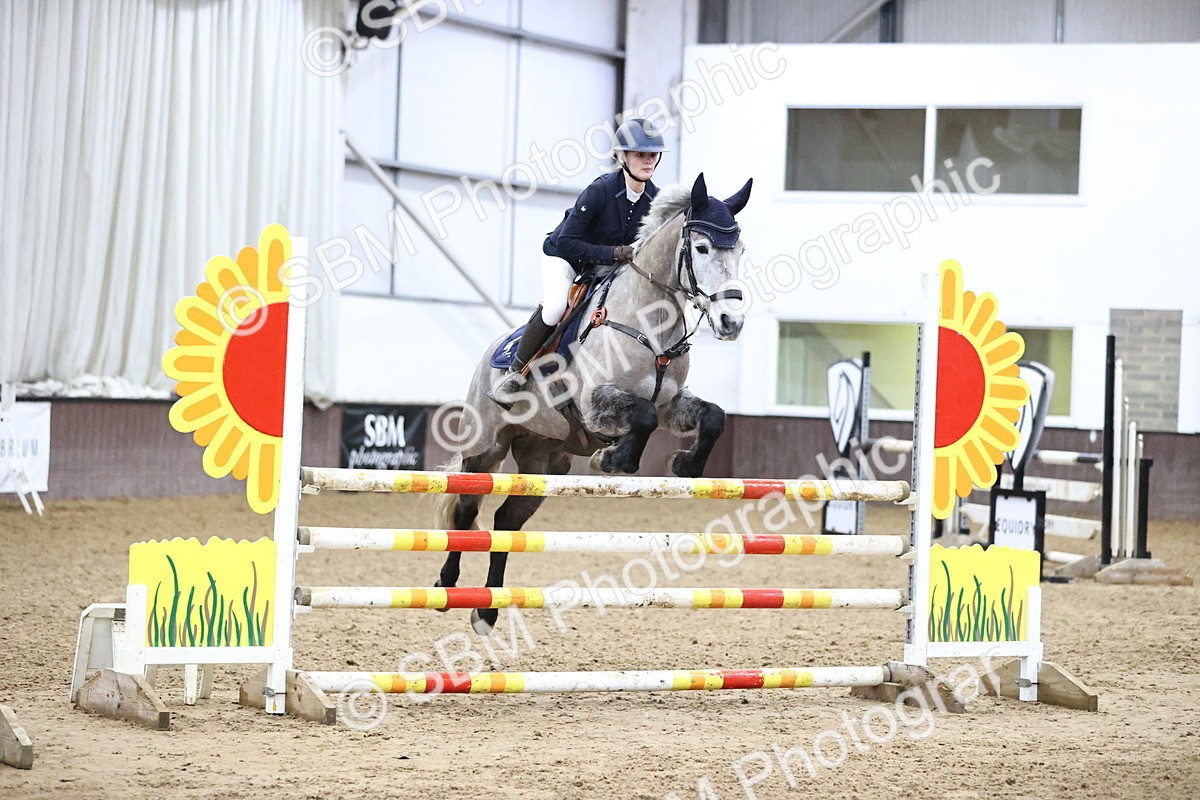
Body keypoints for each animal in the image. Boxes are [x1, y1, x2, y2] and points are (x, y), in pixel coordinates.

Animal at [435, 172, 752, 635]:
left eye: (740, 250)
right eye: (702, 248)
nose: (731, 322)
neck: (648, 320)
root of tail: (492, 352)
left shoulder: (671, 405)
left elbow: (712, 417)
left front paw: (685, 465)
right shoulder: (593, 402)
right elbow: (640, 417)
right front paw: (612, 459)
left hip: (544, 460)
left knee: (507, 521)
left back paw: (488, 611)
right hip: (485, 447)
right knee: (464, 509)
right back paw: (446, 585)